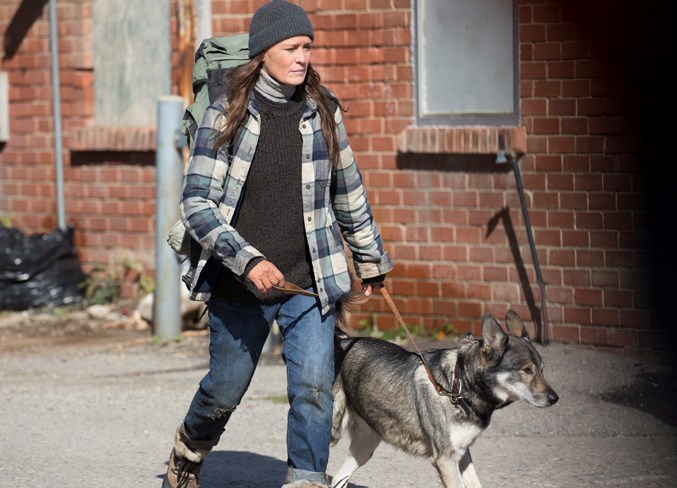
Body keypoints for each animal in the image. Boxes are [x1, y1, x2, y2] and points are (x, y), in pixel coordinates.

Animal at [330, 310, 556, 486]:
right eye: (527, 370)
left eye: (542, 369)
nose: (555, 398)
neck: (458, 386)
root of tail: (341, 339)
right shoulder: (445, 460)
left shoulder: (462, 454)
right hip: (334, 434)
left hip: (365, 447)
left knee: (338, 479)